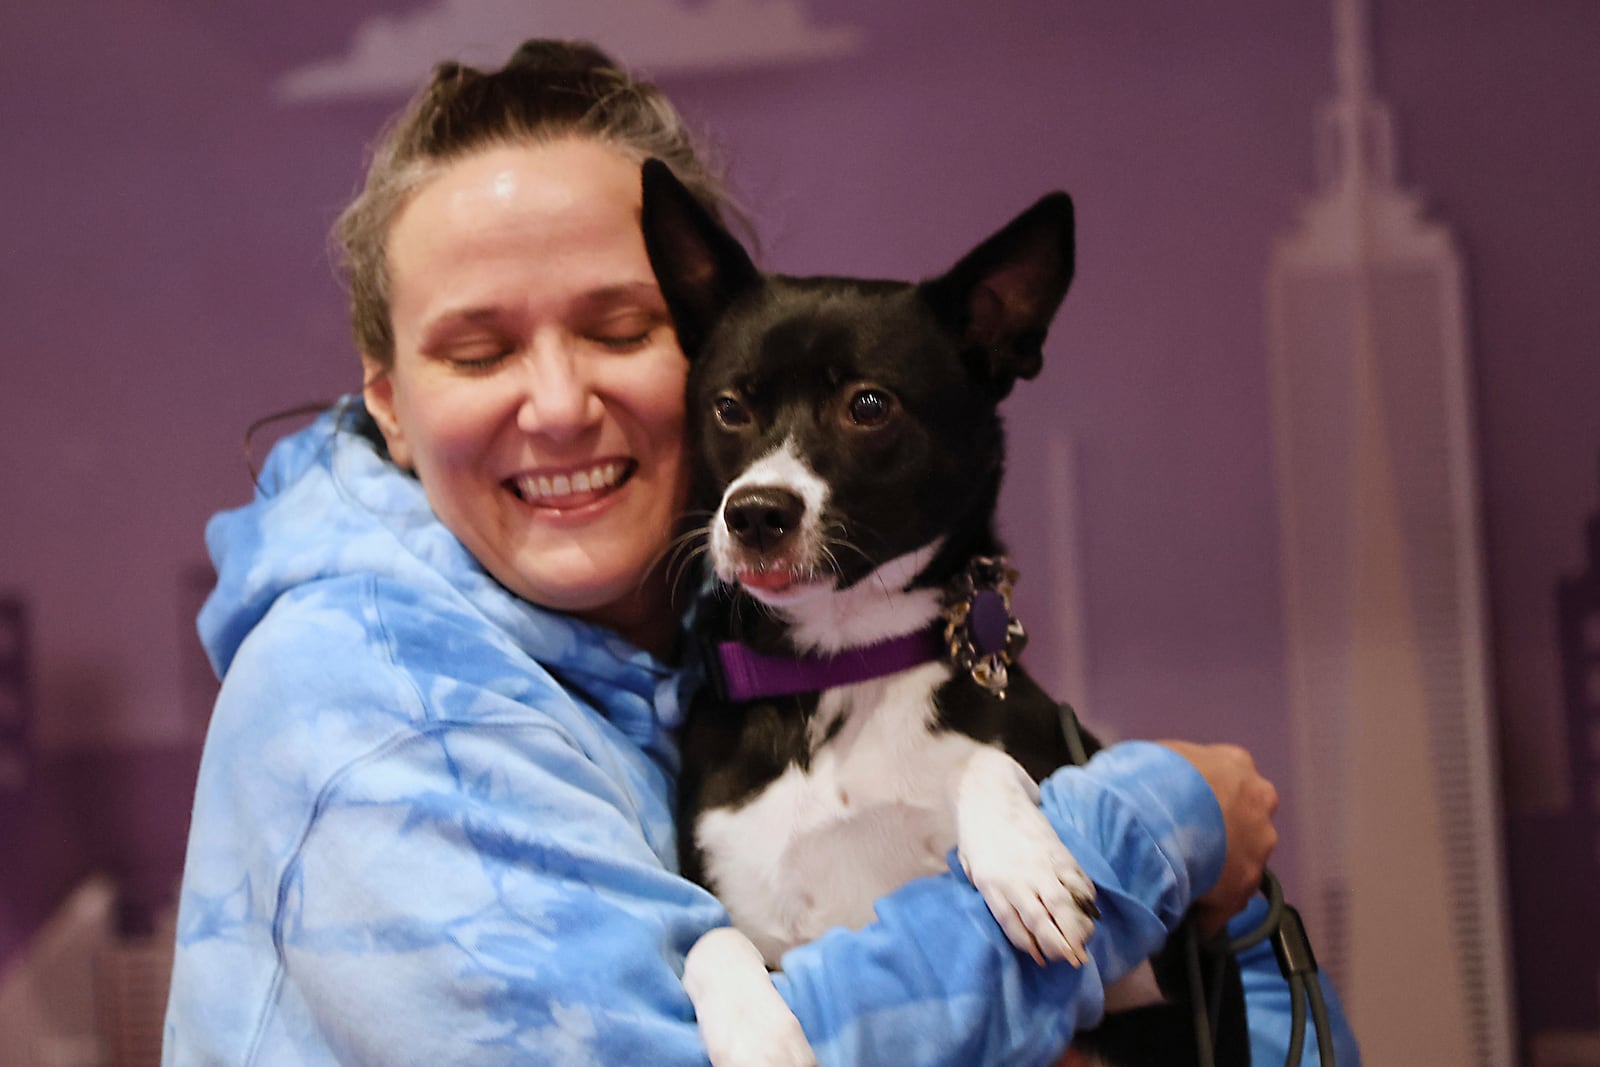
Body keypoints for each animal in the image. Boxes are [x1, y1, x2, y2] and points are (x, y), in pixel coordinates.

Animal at [640, 160, 1248, 1067]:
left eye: (868, 405)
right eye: (729, 407)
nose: (754, 513)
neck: (842, 670)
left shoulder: (1161, 983)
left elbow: (985, 762)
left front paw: (1025, 865)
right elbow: (710, 940)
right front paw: (757, 1033)